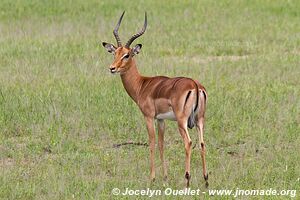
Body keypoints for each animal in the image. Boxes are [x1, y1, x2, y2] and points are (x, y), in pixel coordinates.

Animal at [102, 11, 207, 188]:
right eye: (115, 53)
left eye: (127, 55)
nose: (112, 68)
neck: (142, 84)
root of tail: (194, 85)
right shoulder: (161, 119)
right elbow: (161, 144)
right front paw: (165, 177)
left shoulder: (149, 117)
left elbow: (151, 143)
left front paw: (152, 178)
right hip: (199, 120)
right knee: (202, 143)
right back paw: (206, 180)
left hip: (182, 121)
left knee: (188, 143)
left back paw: (187, 180)